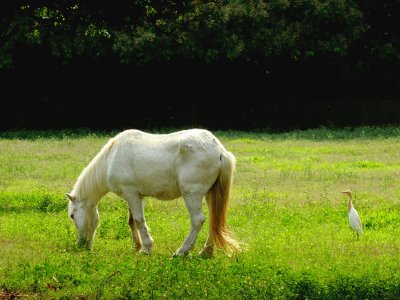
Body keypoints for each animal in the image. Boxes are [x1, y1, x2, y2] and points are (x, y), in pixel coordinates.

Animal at [66, 127, 241, 256]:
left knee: (198, 220)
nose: (81, 245)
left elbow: (139, 220)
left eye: (72, 215)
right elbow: (132, 221)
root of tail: (219, 150)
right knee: (213, 218)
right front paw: (137, 245)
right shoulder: (134, 197)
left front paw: (146, 248)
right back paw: (206, 252)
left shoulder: (131, 194)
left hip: (192, 194)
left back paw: (181, 252)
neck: (111, 158)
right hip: (210, 193)